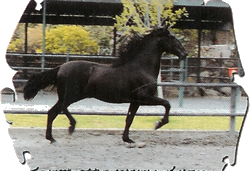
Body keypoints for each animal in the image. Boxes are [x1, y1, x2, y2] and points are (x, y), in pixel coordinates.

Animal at [23, 25, 188, 143]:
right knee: (62, 108)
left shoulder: (135, 101)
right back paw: (71, 127)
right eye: (172, 37)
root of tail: (60, 68)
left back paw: (51, 138)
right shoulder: (144, 97)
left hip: (65, 96)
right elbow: (167, 104)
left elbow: (129, 119)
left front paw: (127, 139)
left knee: (52, 112)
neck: (141, 67)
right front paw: (158, 124)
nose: (185, 54)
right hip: (71, 95)